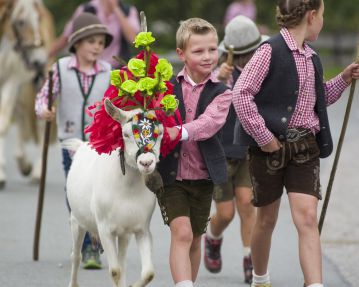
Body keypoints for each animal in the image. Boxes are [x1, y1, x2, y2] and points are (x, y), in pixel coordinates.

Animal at [65, 98, 165, 287]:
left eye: (160, 133)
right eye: (125, 134)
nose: (146, 162)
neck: (126, 189)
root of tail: (82, 145)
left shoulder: (141, 229)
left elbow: (148, 272)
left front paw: (132, 285)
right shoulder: (105, 230)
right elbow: (115, 271)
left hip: (124, 233)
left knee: (122, 259)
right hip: (76, 220)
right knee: (75, 256)